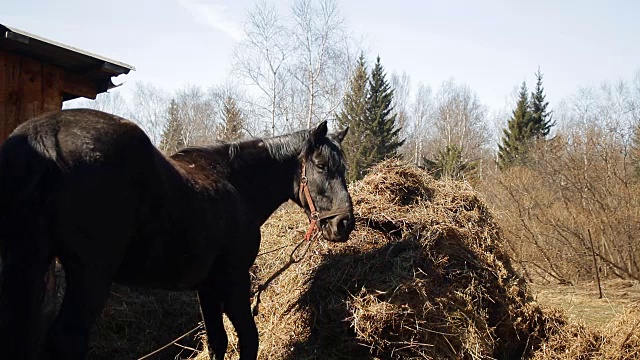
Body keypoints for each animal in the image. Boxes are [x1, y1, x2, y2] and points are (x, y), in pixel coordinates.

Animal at [0, 108, 356, 358]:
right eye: (321, 166)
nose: (344, 224)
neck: (234, 182)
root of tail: (43, 136)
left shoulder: (207, 286)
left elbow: (217, 342)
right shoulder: (233, 278)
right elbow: (248, 339)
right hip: (90, 275)